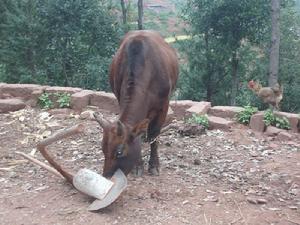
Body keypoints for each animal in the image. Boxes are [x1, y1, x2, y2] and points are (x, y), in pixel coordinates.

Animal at [94, 30, 178, 178]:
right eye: (103, 149)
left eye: (119, 152)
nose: (106, 176)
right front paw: (138, 166)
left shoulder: (163, 106)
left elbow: (154, 134)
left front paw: (154, 165)